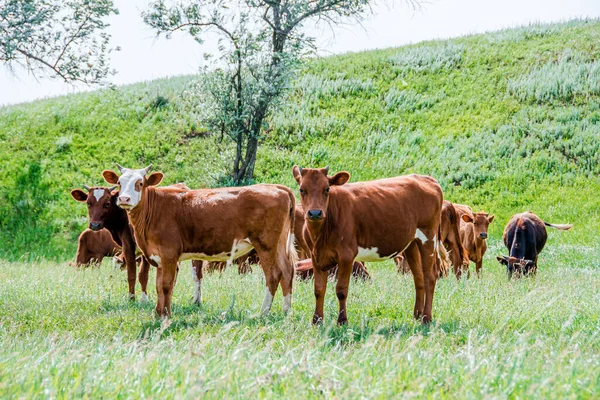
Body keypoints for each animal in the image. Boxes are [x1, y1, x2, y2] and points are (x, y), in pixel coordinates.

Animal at [106, 164, 300, 318]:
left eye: (140, 183)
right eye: (119, 183)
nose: (124, 199)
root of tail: (277, 187)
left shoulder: (169, 254)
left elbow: (167, 285)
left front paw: (166, 316)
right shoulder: (159, 257)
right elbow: (159, 286)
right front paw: (159, 313)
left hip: (265, 244)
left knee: (273, 275)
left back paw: (264, 312)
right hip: (280, 243)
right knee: (287, 272)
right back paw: (286, 310)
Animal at [292, 166, 448, 324]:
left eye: (327, 189)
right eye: (301, 189)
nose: (315, 213)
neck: (320, 235)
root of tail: (427, 178)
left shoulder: (346, 255)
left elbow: (341, 290)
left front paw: (342, 320)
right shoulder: (316, 256)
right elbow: (319, 289)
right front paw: (317, 321)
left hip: (428, 237)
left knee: (430, 277)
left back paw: (426, 318)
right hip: (412, 243)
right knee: (418, 277)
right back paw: (416, 315)